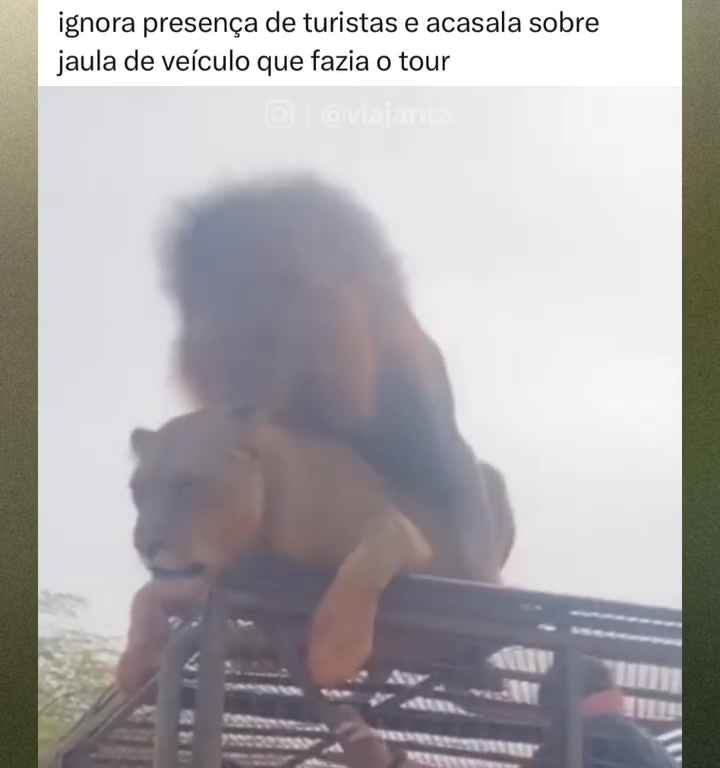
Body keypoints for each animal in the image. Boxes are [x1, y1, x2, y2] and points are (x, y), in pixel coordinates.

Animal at [115, 412, 516, 692]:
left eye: (188, 485)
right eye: (136, 491)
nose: (144, 546)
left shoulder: (404, 531)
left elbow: (366, 558)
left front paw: (335, 653)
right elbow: (146, 593)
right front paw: (134, 661)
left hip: (491, 482)